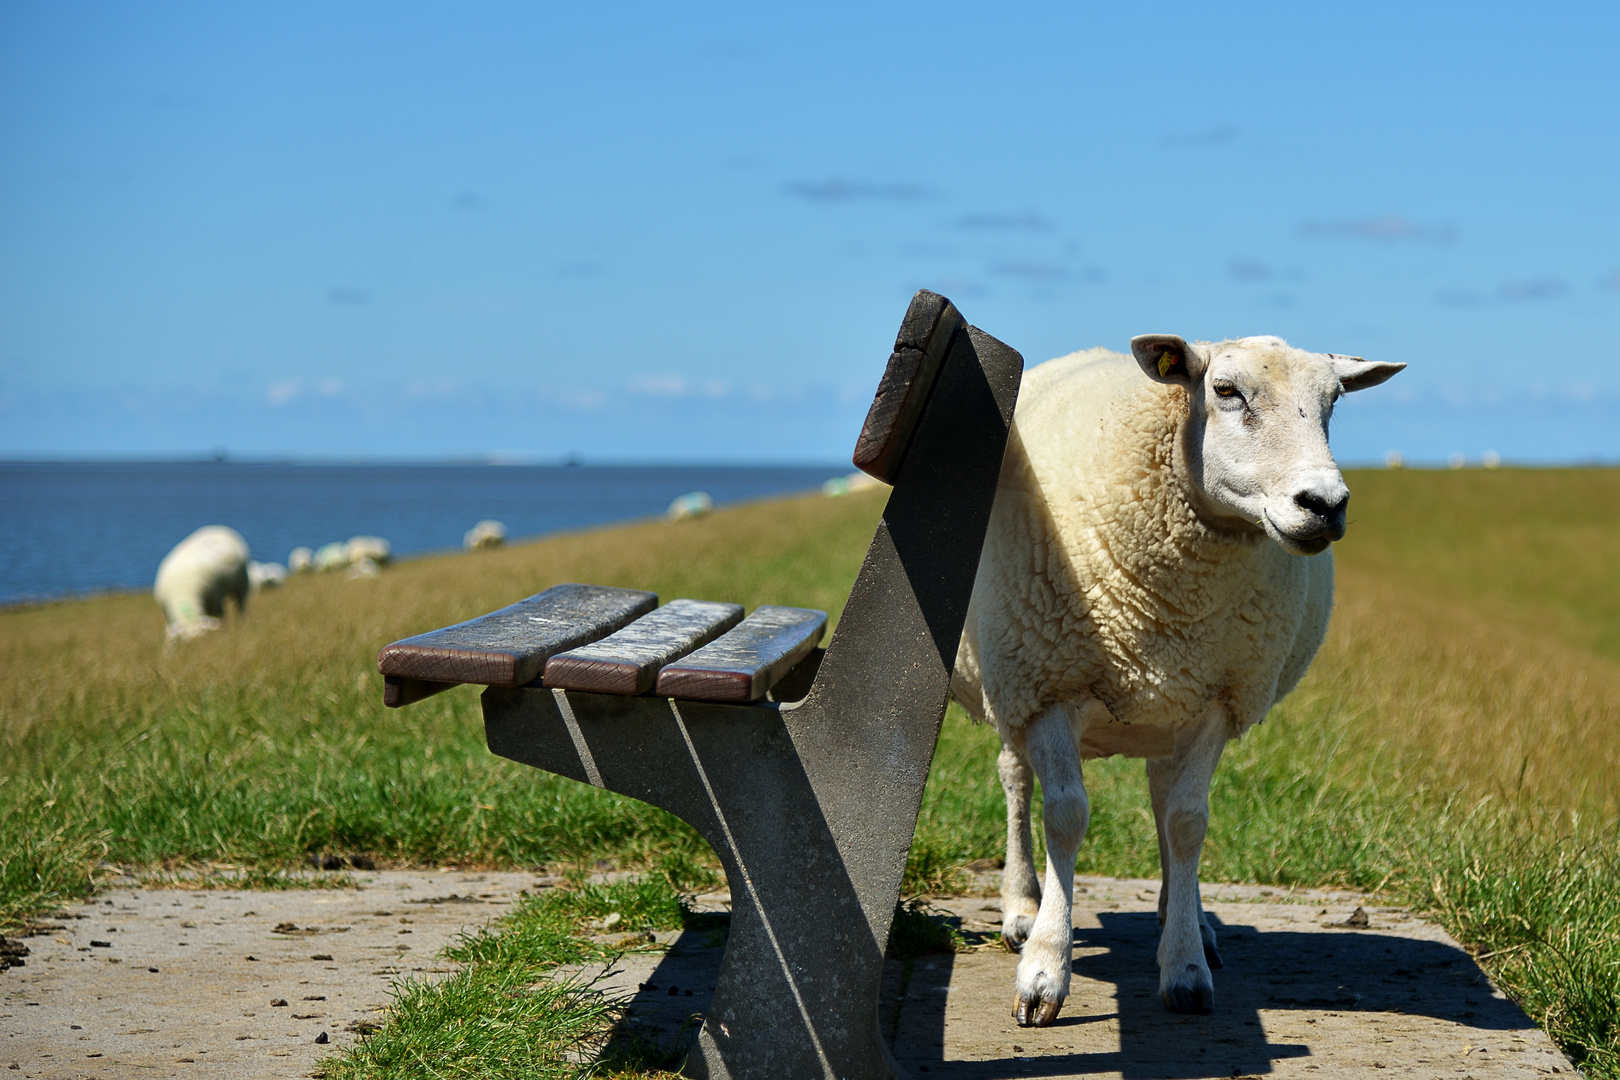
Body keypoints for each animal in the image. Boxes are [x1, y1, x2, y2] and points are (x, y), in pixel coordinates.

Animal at [952, 333, 1399, 1029]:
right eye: (1226, 392)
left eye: (1333, 403)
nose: (1324, 505)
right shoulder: (1048, 685)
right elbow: (1065, 817)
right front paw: (1045, 969)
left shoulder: (1218, 697)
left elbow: (1188, 821)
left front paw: (1185, 965)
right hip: (1013, 678)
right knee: (1015, 780)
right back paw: (1022, 906)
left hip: (1164, 702)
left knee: (1164, 802)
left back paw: (1182, 917)